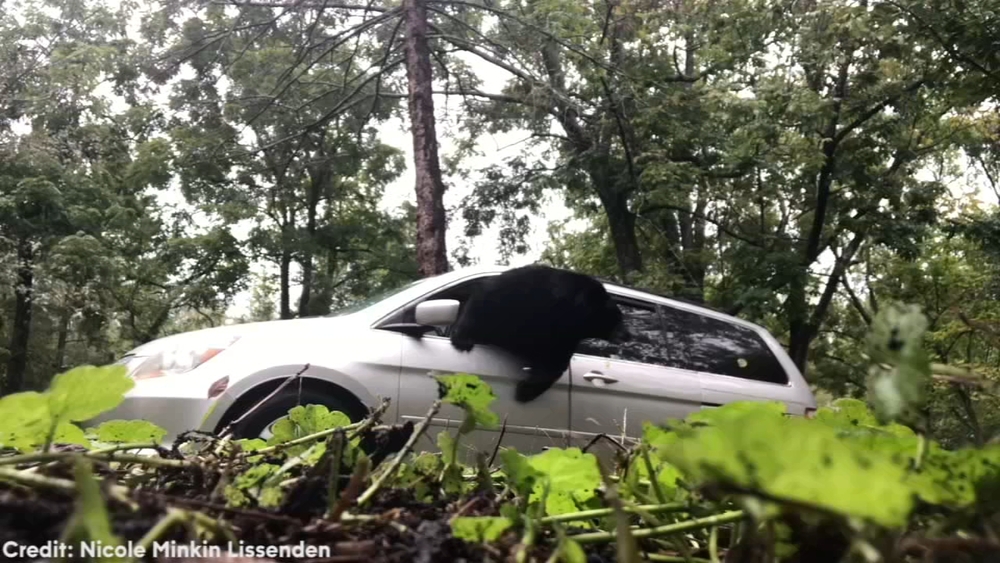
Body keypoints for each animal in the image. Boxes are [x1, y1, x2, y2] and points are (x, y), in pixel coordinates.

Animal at [449, 264, 629, 402]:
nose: (627, 336)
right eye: (617, 319)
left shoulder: (566, 335)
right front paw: (462, 339)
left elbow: (554, 362)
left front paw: (524, 390)